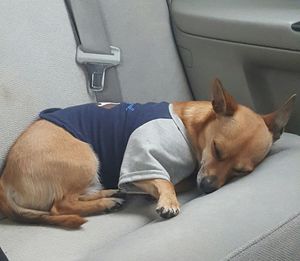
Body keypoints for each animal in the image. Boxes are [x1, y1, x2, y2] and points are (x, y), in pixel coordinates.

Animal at [0, 79, 296, 228]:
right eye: (216, 148)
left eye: (240, 172)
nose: (208, 187)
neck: (188, 127)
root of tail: (4, 181)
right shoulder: (141, 163)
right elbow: (165, 181)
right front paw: (169, 201)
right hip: (85, 157)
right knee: (61, 204)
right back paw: (105, 202)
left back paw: (109, 195)